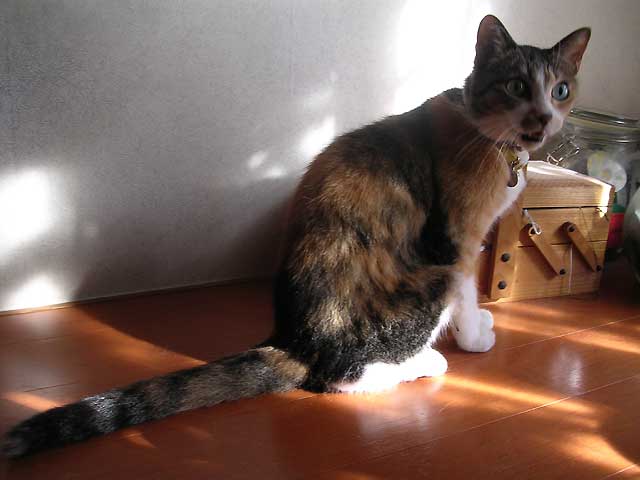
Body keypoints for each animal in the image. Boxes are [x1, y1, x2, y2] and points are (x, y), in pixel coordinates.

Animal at [2, 15, 590, 457]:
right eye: (516, 86)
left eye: (560, 90)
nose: (543, 119)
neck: (492, 139)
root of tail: (293, 339)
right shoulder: (462, 238)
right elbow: (468, 294)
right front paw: (475, 337)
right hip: (427, 278)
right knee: (338, 376)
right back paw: (425, 362)